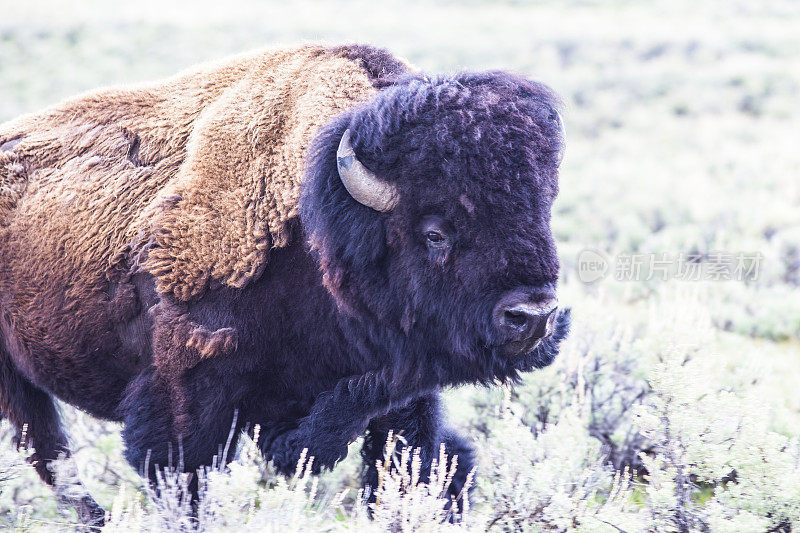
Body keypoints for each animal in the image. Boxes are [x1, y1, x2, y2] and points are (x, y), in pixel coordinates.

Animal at [3, 43, 572, 520]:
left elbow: (414, 466)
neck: (319, 229)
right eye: (435, 233)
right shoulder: (188, 395)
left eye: (541, 211)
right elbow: (185, 479)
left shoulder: (403, 394)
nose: (532, 318)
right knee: (48, 448)